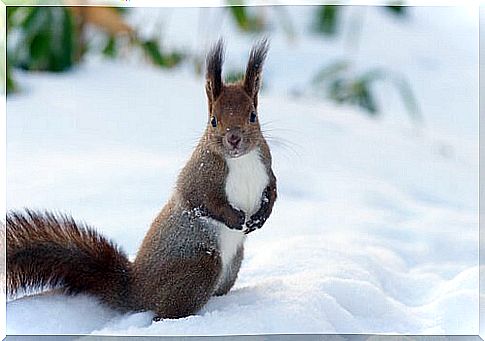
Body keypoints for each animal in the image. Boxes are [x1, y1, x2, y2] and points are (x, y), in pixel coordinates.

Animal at [5, 39, 276, 318]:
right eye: (213, 121)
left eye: (253, 115)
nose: (234, 138)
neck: (241, 160)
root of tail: (135, 290)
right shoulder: (199, 176)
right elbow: (202, 200)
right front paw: (235, 218)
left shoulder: (266, 167)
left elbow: (272, 191)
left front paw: (261, 216)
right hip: (201, 266)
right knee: (163, 312)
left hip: (232, 264)